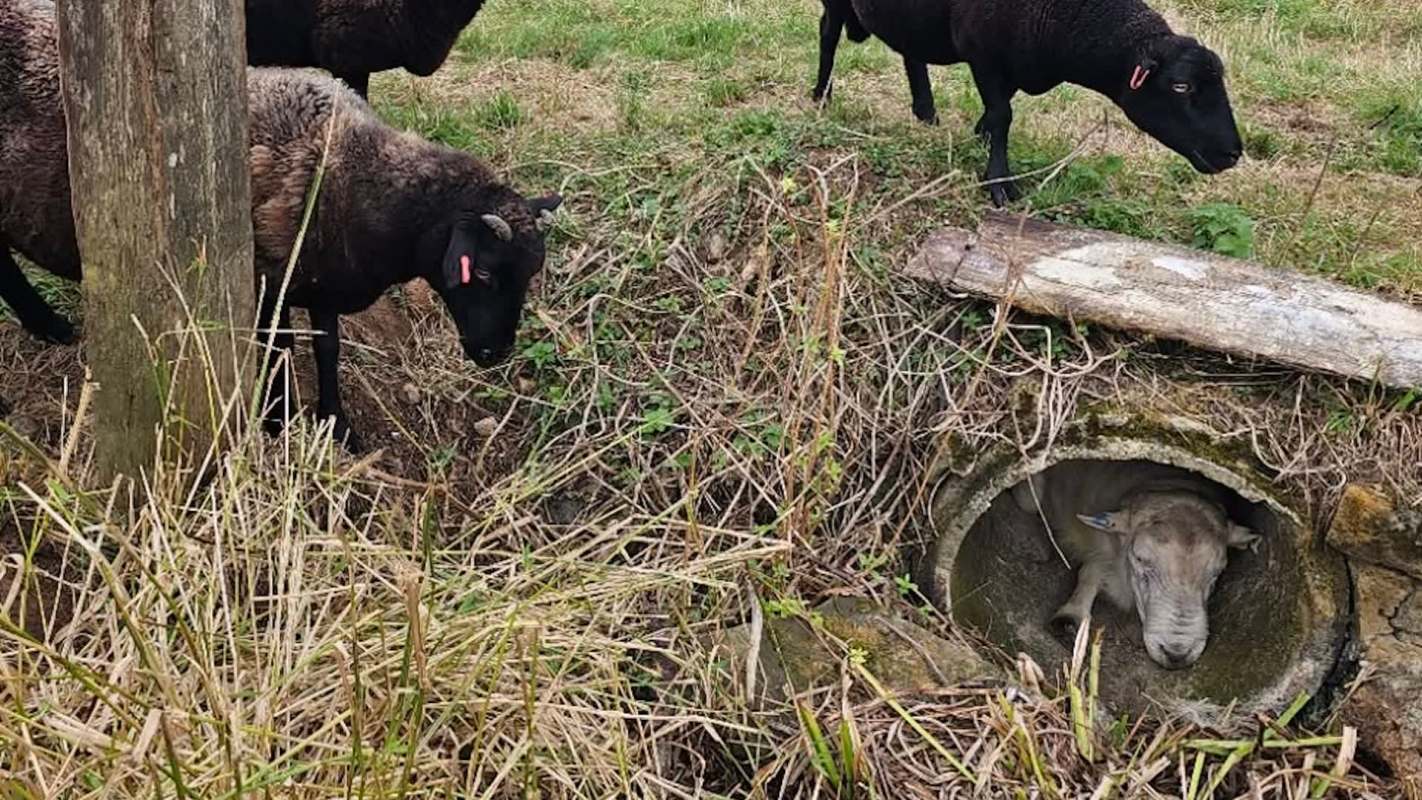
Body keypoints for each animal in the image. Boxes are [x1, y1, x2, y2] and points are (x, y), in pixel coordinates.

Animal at [823, 0, 1244, 206]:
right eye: (1180, 86)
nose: (1233, 153)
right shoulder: (984, 54)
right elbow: (1003, 114)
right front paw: (999, 183)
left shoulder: (1015, 64)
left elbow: (998, 112)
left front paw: (979, 138)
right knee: (828, 31)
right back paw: (821, 97)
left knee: (911, 52)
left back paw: (926, 114)